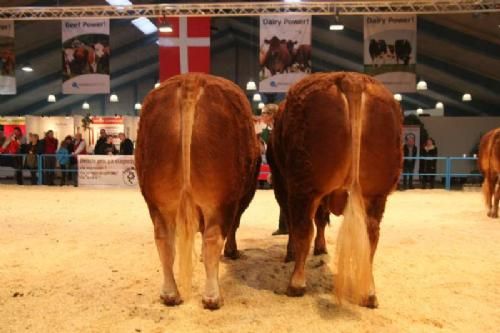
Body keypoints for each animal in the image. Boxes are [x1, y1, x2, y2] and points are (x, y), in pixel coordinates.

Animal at [137, 72, 262, 308]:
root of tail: (192, 79)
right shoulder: (242, 198)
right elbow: (232, 227)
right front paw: (231, 251)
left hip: (156, 199)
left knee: (164, 240)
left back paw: (170, 294)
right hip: (220, 199)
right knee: (213, 238)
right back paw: (213, 297)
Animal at [266, 71, 402, 308]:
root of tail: (351, 79)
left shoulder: (283, 185)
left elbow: (297, 223)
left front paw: (292, 252)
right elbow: (322, 220)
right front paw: (321, 248)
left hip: (304, 184)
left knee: (303, 228)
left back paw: (296, 283)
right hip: (376, 192)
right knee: (371, 234)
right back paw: (369, 292)